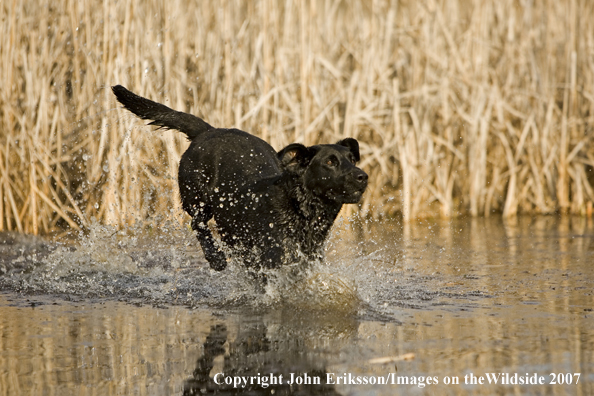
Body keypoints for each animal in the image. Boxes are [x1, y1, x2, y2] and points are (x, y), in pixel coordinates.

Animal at [111, 84, 366, 270]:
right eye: (330, 162)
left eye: (351, 159)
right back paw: (215, 258)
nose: (363, 176)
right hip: (196, 198)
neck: (300, 210)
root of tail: (208, 131)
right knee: (198, 224)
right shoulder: (269, 263)